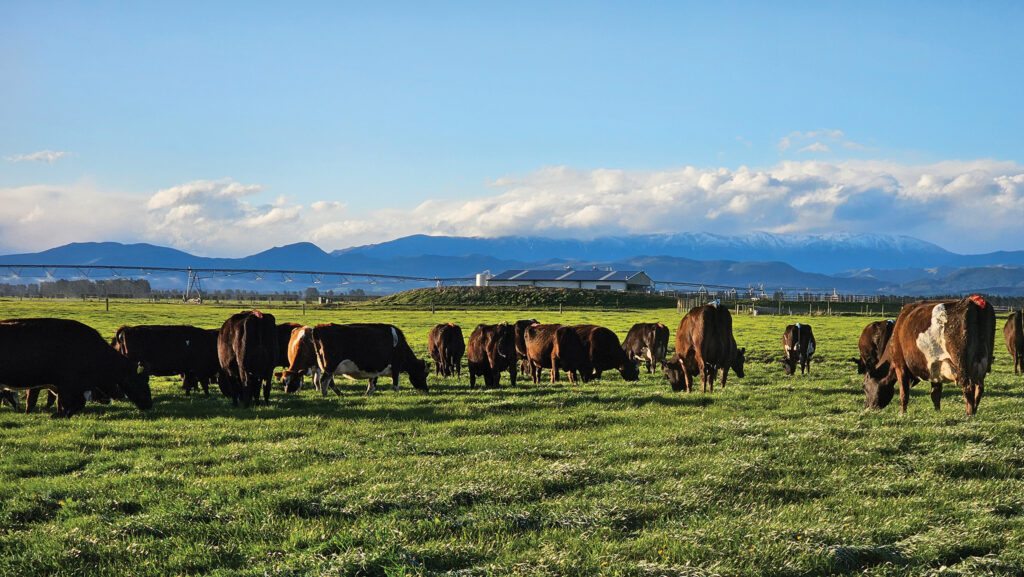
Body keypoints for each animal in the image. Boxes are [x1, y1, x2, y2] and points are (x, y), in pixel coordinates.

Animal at [0, 318, 152, 418]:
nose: (149, 404)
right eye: (139, 381)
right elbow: (68, 403)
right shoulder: (67, 386)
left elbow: (75, 403)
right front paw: (58, 415)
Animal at [863, 295, 996, 415]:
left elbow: (903, 393)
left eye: (864, 386)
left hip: (962, 364)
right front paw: (937, 412)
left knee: (968, 387)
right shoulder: (936, 368)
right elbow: (935, 394)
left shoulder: (900, 366)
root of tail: (973, 301)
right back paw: (974, 411)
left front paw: (902, 413)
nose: (867, 407)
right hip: (982, 363)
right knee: (979, 388)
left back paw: (969, 414)